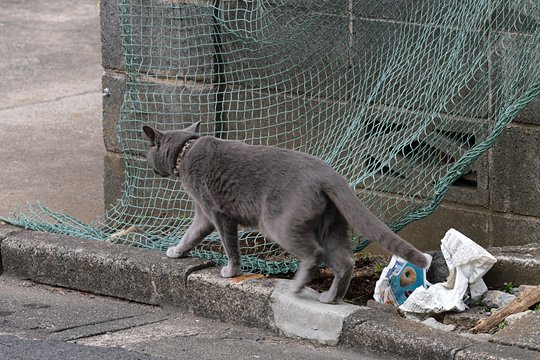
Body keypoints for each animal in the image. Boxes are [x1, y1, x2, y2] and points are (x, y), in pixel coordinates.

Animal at [141, 123, 428, 304]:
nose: (147, 162)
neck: (185, 151)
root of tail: (329, 174)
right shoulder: (203, 214)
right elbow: (190, 234)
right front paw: (176, 251)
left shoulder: (217, 212)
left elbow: (229, 245)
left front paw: (231, 271)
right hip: (332, 226)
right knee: (345, 261)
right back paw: (330, 298)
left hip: (278, 224)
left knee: (315, 254)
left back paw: (297, 286)